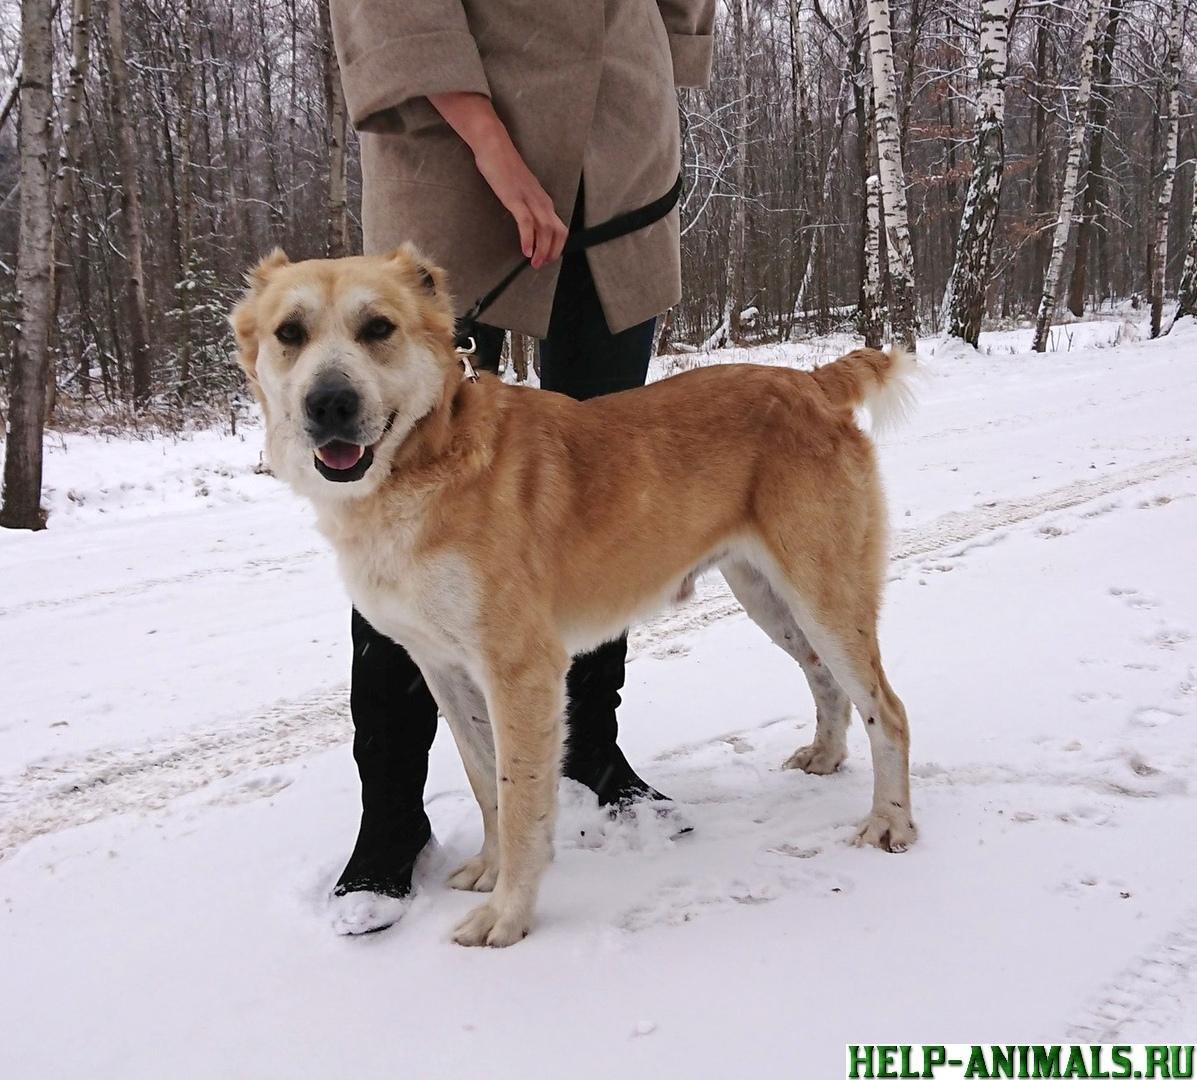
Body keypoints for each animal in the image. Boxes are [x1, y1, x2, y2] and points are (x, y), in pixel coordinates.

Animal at [233, 247, 919, 948]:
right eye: (290, 333)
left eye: (378, 328)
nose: (330, 403)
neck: (427, 461)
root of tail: (812, 382)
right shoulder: (442, 667)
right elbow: (485, 779)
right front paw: (489, 868)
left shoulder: (520, 671)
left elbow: (520, 800)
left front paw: (509, 914)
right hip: (769, 599)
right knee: (826, 680)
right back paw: (827, 756)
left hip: (825, 597)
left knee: (888, 711)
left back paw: (890, 822)